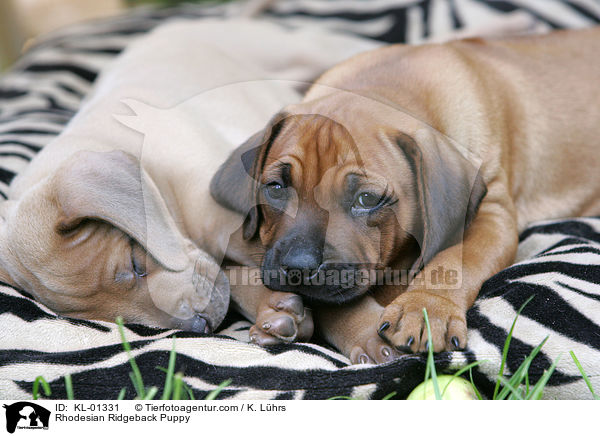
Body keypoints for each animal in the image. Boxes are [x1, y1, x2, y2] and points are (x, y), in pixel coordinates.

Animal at [211, 26, 600, 362]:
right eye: (275, 188)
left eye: (367, 199)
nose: (298, 268)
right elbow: (235, 272)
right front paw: (277, 309)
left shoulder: (493, 213)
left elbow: (455, 258)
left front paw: (425, 308)